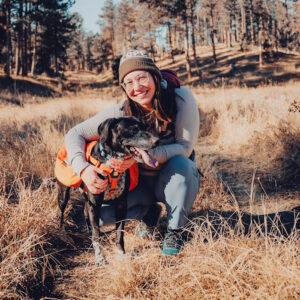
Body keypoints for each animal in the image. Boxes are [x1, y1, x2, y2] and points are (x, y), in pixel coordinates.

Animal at [56, 117, 159, 264]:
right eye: (133, 130)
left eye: (145, 127)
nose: (157, 140)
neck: (112, 162)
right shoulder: (95, 203)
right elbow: (96, 234)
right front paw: (99, 257)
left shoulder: (121, 204)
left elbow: (119, 232)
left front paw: (121, 253)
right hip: (64, 194)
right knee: (61, 213)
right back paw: (63, 234)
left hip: (87, 199)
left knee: (86, 213)